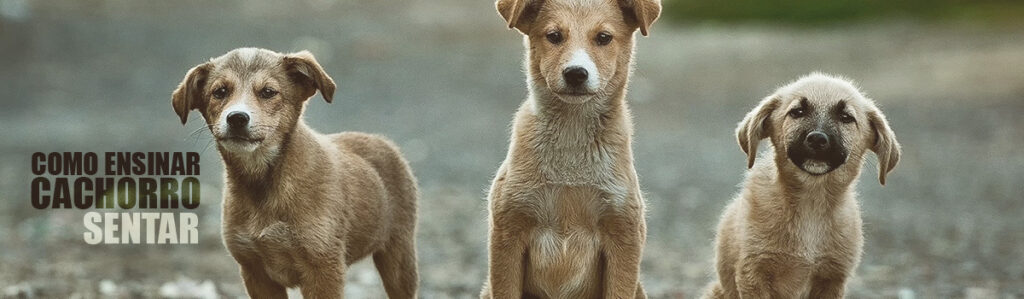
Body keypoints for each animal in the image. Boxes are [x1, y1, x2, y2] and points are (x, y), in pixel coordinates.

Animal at [169, 47, 417, 296]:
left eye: (268, 92)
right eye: (219, 92)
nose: (237, 118)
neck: (264, 183)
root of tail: (380, 139)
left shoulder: (323, 267)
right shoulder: (254, 271)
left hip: (399, 257)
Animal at [704, 73, 905, 299]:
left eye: (846, 117)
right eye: (797, 112)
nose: (817, 139)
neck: (811, 200)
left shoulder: (832, 279)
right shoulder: (754, 272)